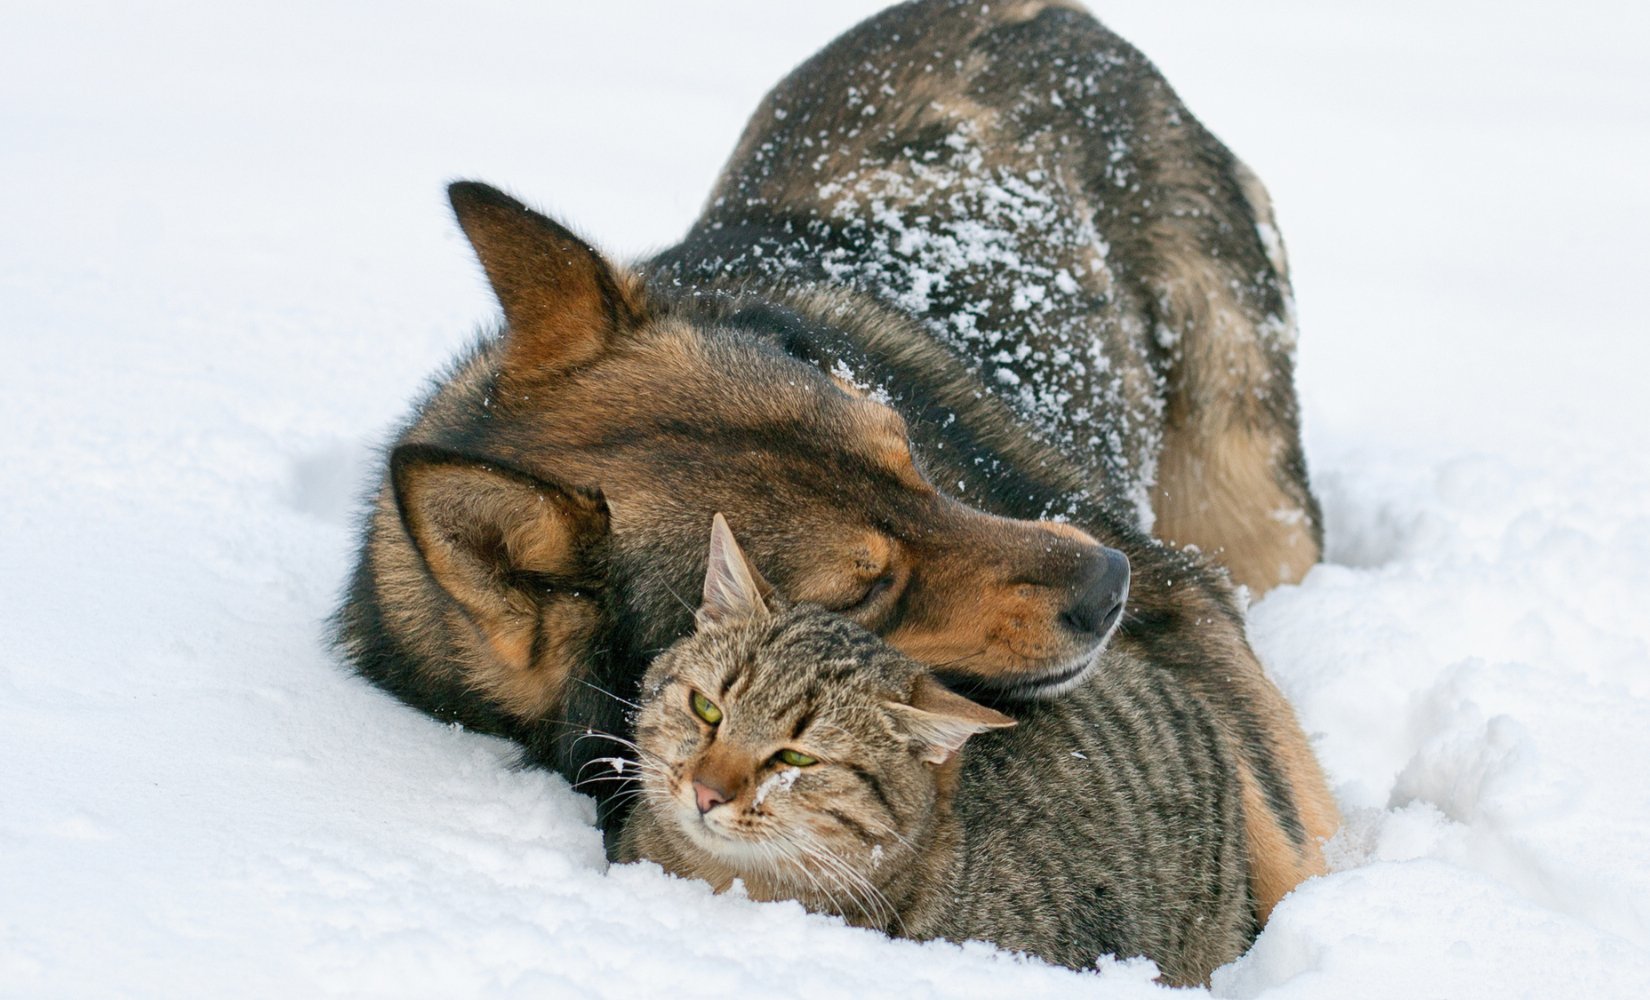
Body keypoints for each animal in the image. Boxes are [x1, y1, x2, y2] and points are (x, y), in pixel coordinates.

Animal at [334, 0, 1339, 924]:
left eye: (907, 453)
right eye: (863, 590)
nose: (1113, 586)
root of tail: (1048, 15)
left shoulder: (1192, 617)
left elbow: (1293, 844)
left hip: (1248, 512)